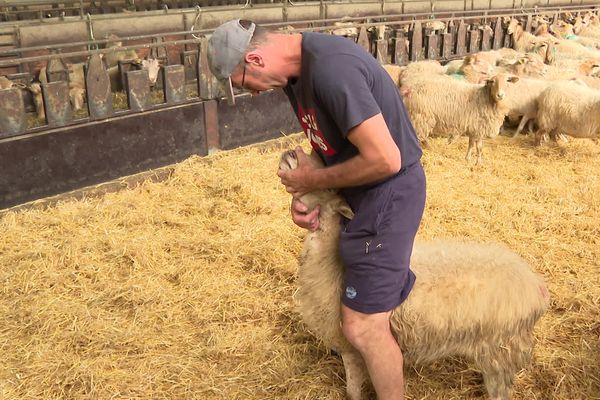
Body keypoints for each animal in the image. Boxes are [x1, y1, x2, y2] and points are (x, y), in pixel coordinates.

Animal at [278, 149, 552, 400]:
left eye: (324, 183)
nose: (291, 152)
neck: (331, 265)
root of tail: (535, 285)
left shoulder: (351, 349)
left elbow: (352, 390)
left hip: (500, 351)